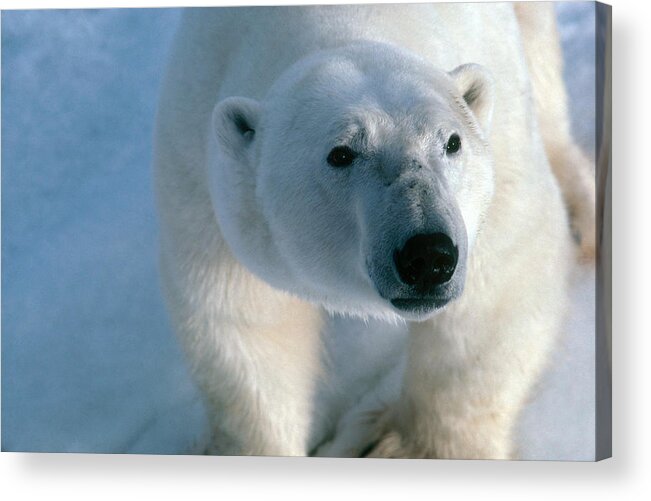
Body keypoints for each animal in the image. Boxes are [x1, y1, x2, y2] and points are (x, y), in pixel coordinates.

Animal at [154, 2, 596, 458]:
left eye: (452, 142)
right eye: (341, 153)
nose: (428, 256)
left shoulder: (500, 159)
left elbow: (499, 290)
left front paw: (406, 448)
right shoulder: (200, 165)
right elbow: (242, 316)